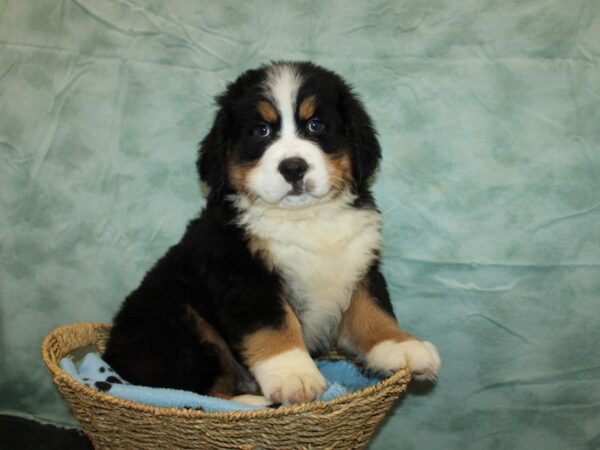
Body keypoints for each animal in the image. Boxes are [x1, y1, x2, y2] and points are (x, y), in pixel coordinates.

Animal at [103, 61, 440, 406]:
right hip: (177, 319)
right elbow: (276, 325)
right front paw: (294, 374)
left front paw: (401, 346)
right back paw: (250, 402)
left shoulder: (358, 264)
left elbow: (373, 310)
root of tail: (110, 353)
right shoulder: (244, 274)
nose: (293, 167)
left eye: (316, 125)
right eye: (261, 131)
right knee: (189, 388)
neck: (304, 219)